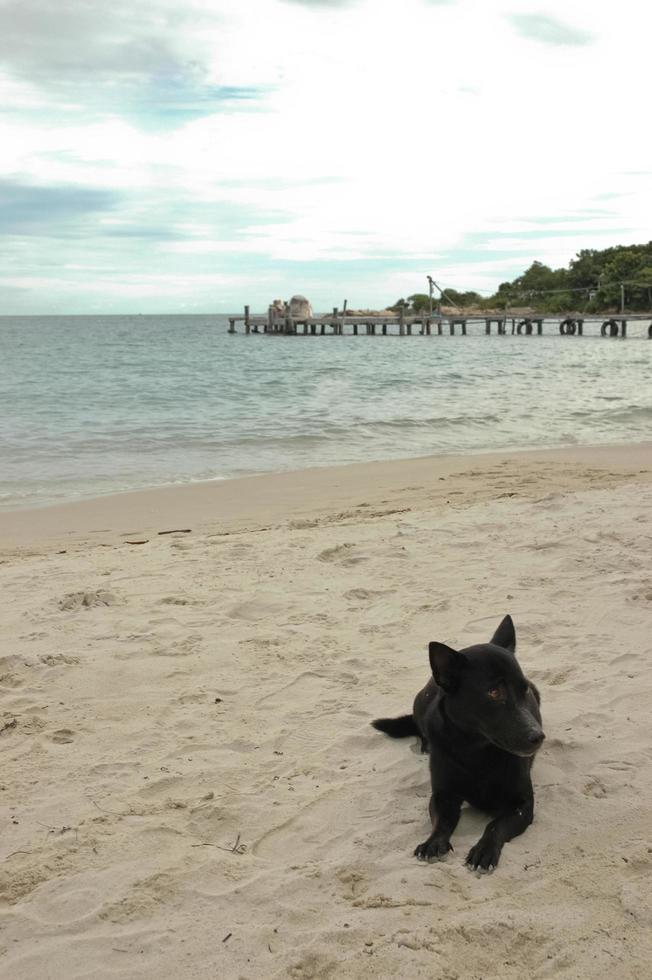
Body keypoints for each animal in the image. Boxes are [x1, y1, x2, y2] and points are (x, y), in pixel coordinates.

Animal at [372, 616, 544, 868]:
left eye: (525, 691)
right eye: (494, 692)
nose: (538, 736)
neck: (475, 751)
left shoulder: (522, 804)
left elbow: (495, 825)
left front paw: (484, 849)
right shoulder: (443, 796)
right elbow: (441, 822)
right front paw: (433, 843)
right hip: (421, 703)